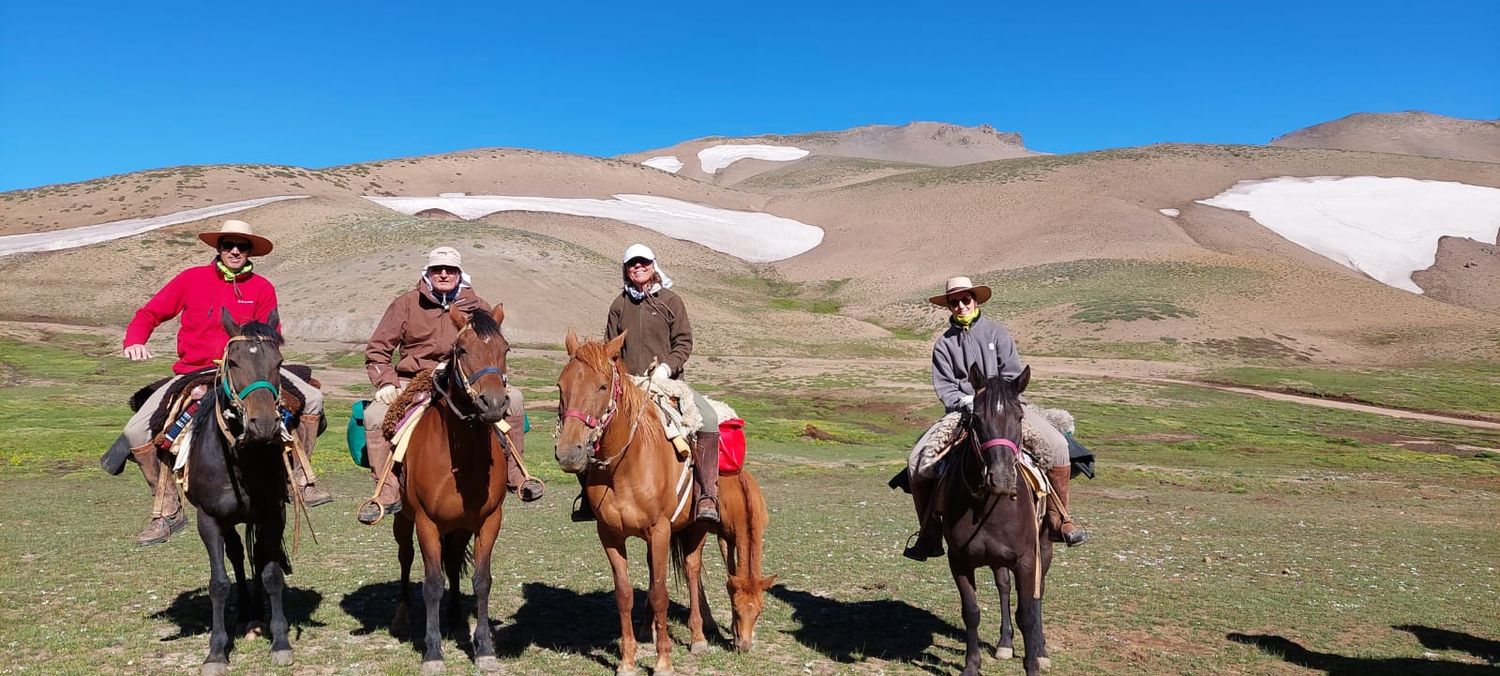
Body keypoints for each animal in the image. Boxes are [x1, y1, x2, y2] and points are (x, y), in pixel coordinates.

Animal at [184, 310, 295, 676]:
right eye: (233, 362)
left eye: (279, 362)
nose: (264, 424)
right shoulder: (208, 519)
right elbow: (218, 584)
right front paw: (216, 652)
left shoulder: (273, 513)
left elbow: (272, 574)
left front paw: (281, 642)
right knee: (235, 555)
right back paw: (246, 613)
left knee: (255, 555)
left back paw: (256, 617)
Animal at [390, 308, 513, 676]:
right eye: (461, 349)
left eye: (505, 349)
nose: (493, 403)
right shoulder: (426, 523)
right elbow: (432, 585)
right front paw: (433, 653)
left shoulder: (489, 521)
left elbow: (482, 580)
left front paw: (484, 648)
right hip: (404, 520)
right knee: (405, 558)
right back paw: (402, 618)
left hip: (458, 527)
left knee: (456, 560)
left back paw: (457, 618)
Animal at [558, 332, 780, 676]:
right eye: (560, 385)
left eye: (602, 386)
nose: (569, 453)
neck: (624, 466)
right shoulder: (610, 535)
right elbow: (625, 595)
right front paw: (627, 660)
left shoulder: (661, 531)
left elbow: (660, 592)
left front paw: (663, 661)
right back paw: (647, 629)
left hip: (697, 525)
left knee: (691, 569)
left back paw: (698, 637)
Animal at [942, 365, 1050, 676]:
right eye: (976, 418)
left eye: (1019, 417)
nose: (1001, 478)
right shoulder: (959, 560)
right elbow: (971, 612)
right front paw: (971, 665)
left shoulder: (1026, 559)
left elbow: (1027, 613)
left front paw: (1032, 665)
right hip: (997, 559)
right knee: (1003, 586)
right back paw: (1004, 643)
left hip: (1044, 548)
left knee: (1039, 592)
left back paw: (1041, 650)